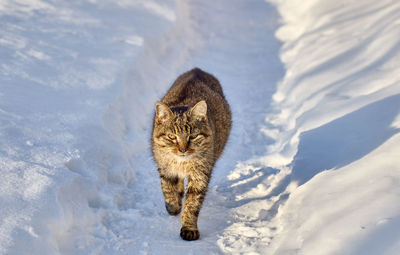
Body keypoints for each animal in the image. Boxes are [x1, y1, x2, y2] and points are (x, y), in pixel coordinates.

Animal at [151, 66, 233, 240]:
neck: (182, 163)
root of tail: (197, 70)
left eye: (193, 136)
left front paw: (189, 227)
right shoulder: (164, 168)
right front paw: (174, 206)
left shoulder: (200, 175)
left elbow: (192, 204)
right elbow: (168, 190)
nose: (183, 149)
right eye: (172, 137)